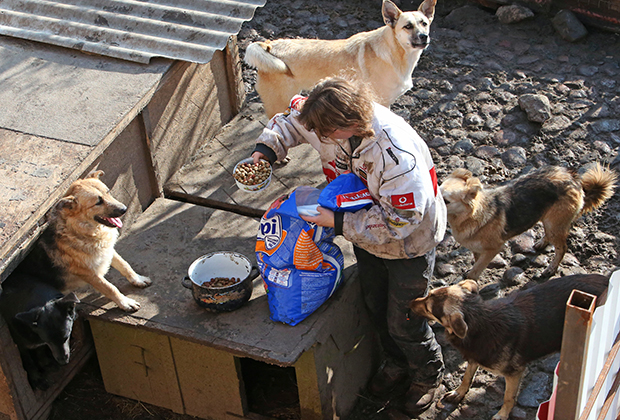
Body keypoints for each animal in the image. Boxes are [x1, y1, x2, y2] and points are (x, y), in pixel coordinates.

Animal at [38, 171, 150, 312]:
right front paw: (125, 303)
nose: (124, 209)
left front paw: (138, 279)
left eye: (108, 191)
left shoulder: (107, 250)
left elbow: (125, 265)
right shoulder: (89, 274)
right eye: (98, 202)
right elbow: (110, 288)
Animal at [242, 0, 436, 117]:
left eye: (424, 23)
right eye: (407, 26)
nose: (424, 36)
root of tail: (269, 45)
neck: (396, 52)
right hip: (278, 103)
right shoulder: (381, 102)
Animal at [410, 274, 608, 418]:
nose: (410, 303)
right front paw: (459, 393)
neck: (480, 321)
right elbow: (467, 377)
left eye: (428, 308)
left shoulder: (515, 373)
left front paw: (502, 415)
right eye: (428, 293)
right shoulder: (475, 356)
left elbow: (508, 398)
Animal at [440, 166, 616, 280]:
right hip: (548, 221)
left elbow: (476, 270)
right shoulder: (477, 249)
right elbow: (477, 262)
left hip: (555, 225)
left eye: (446, 201)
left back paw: (550, 269)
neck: (471, 215)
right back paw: (541, 243)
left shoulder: (494, 248)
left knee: (562, 248)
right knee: (550, 236)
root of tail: (573, 178)